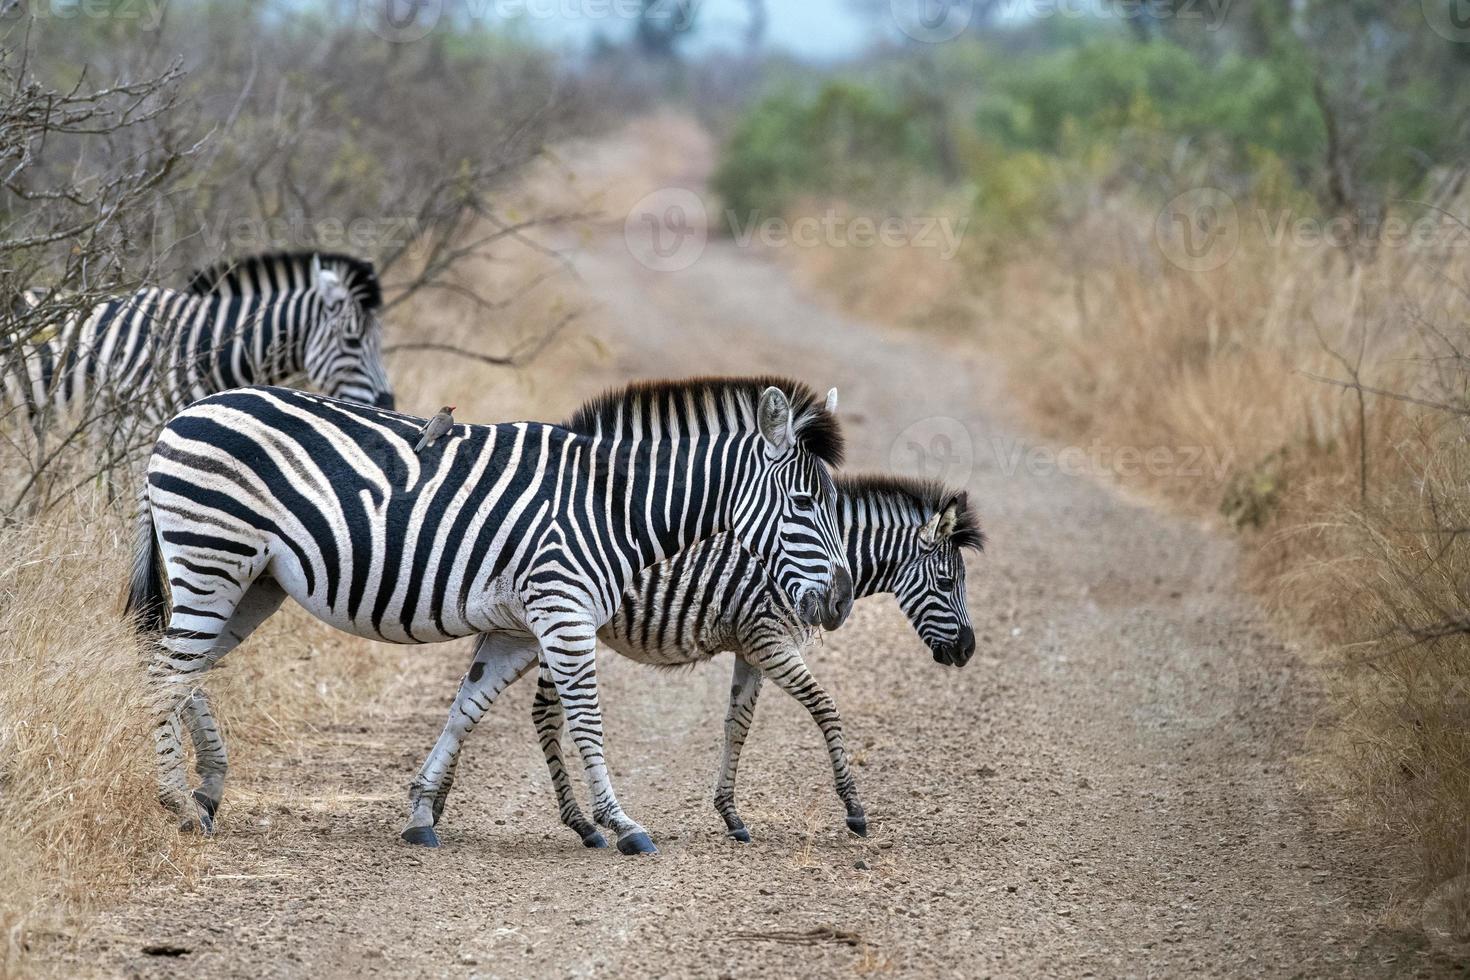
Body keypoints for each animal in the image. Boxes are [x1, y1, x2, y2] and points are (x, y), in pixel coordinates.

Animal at [130, 379, 858, 852]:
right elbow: (587, 720)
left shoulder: (515, 629)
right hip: (213, 555)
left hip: (252, 582)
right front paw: (621, 824)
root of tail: (183, 414)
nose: (841, 602)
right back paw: (178, 805)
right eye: (802, 503)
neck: (612, 505)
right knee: (165, 674)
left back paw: (205, 790)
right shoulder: (563, 612)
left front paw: (422, 814)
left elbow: (465, 710)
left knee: (178, 668)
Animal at [511, 470, 981, 846]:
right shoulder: (770, 641)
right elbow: (825, 708)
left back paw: (582, 823)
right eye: (946, 582)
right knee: (547, 714)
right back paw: (584, 825)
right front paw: (854, 809)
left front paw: (731, 815)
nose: (968, 650)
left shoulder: (752, 649)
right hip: (563, 628)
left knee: (543, 713)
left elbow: (737, 725)